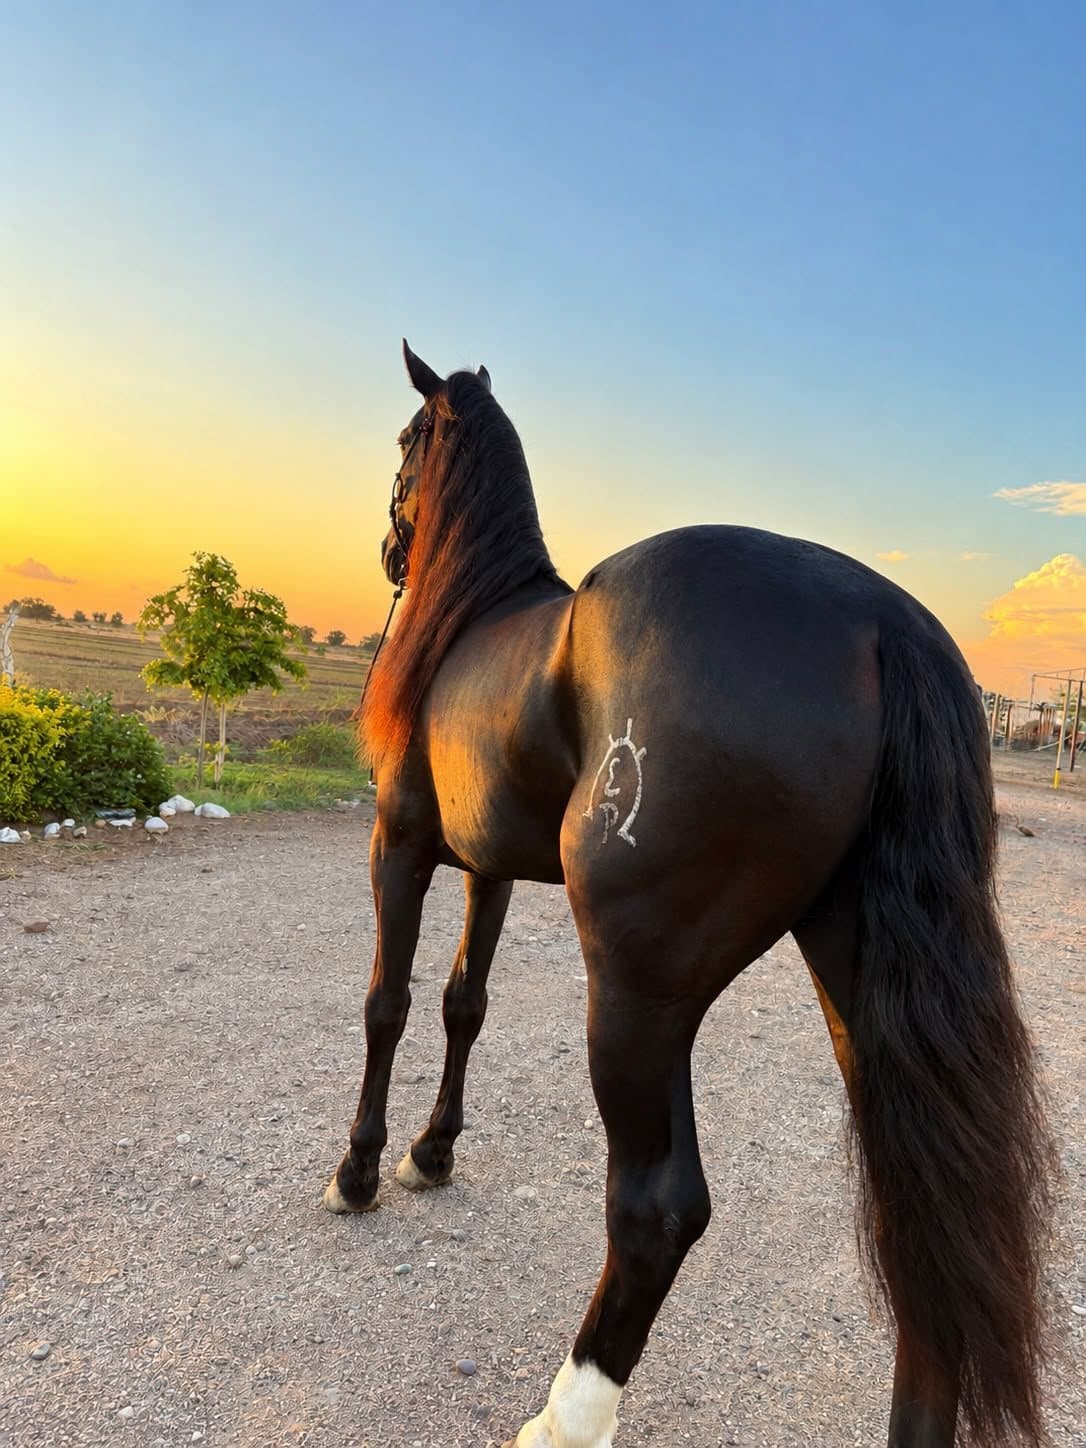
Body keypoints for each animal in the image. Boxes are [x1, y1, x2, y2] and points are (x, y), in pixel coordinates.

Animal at [322, 342, 1055, 1447]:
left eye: (408, 440)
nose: (387, 549)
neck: (477, 615)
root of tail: (882, 623)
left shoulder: (400, 846)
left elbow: (388, 1004)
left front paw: (360, 1170)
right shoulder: (489, 867)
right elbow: (464, 1006)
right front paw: (433, 1151)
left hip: (638, 994)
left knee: (657, 1206)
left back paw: (566, 1415)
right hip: (858, 986)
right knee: (917, 1226)